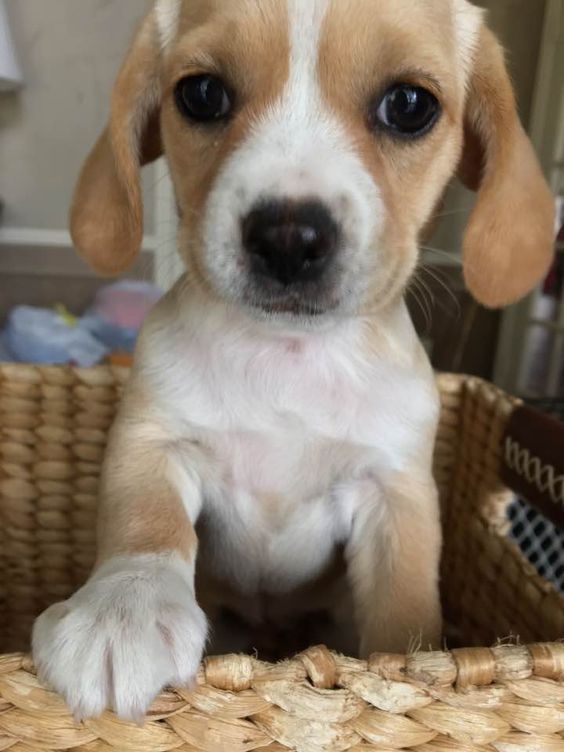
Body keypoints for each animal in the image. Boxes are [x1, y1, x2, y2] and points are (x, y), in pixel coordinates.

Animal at [32, 0, 556, 720]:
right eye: (201, 94)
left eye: (409, 105)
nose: (288, 237)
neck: (288, 360)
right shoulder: (153, 442)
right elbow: (146, 524)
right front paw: (123, 607)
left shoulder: (396, 497)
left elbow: (402, 610)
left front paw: (411, 669)